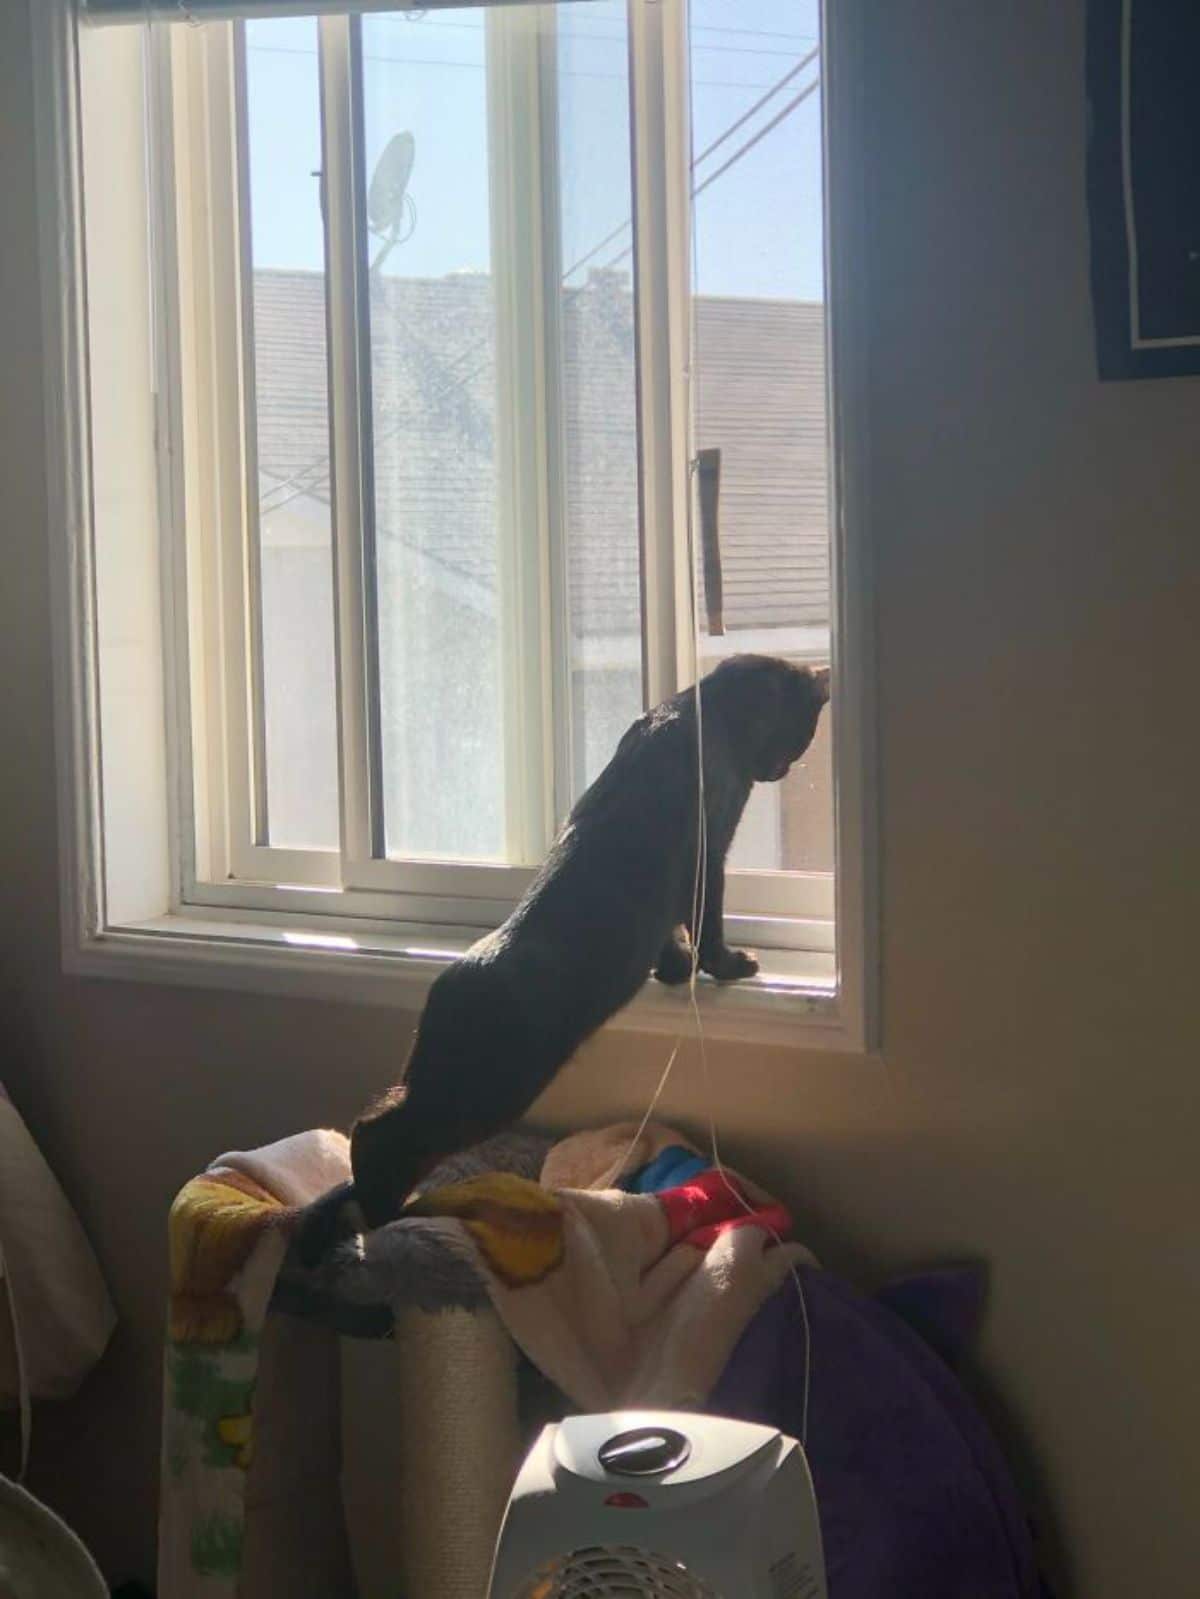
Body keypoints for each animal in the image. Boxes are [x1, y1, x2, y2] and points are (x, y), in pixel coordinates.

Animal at [299, 655, 825, 1253]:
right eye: (804, 732)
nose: (783, 769)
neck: (703, 715)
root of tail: (443, 990)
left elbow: (670, 940)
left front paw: (674, 970)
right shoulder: (708, 854)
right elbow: (707, 924)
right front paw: (730, 964)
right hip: (489, 1092)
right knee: (380, 1132)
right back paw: (384, 1211)